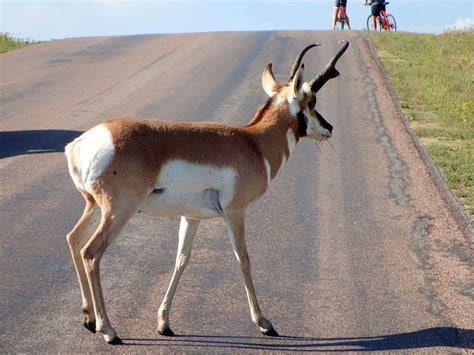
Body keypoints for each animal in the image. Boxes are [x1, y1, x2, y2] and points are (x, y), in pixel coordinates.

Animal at [65, 41, 348, 344]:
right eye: (312, 101)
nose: (330, 128)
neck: (253, 142)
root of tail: (83, 142)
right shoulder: (235, 213)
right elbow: (243, 260)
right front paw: (264, 323)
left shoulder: (191, 217)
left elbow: (181, 260)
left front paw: (164, 323)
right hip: (119, 211)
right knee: (91, 252)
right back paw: (108, 330)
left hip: (95, 207)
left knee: (73, 239)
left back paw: (89, 318)